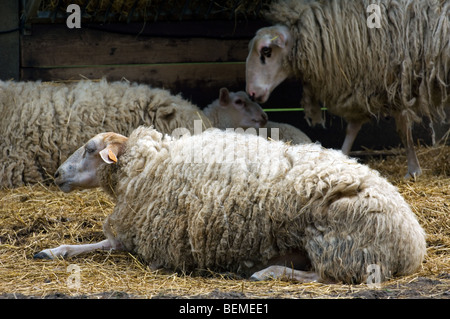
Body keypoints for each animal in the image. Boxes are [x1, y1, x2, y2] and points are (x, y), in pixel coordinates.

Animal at [34, 126, 426, 284]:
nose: (57, 174)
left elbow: (102, 243)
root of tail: (413, 244)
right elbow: (95, 245)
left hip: (340, 244)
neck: (148, 167)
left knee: (327, 276)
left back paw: (268, 272)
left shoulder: (144, 234)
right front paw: (51, 251)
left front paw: (54, 250)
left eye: (89, 149)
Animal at [246, 0, 450, 180]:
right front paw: (340, 158)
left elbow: (402, 128)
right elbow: (352, 128)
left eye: (266, 51)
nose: (251, 93)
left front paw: (413, 171)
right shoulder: (364, 85)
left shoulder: (394, 80)